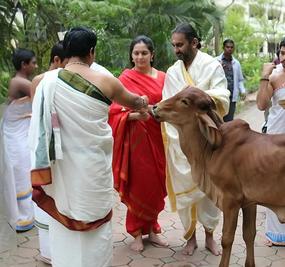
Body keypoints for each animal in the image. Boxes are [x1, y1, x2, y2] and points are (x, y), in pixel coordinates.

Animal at [153, 87, 285, 267]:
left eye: (185, 101)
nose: (155, 107)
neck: (210, 150)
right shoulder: (250, 202)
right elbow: (249, 234)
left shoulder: (231, 200)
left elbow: (227, 239)